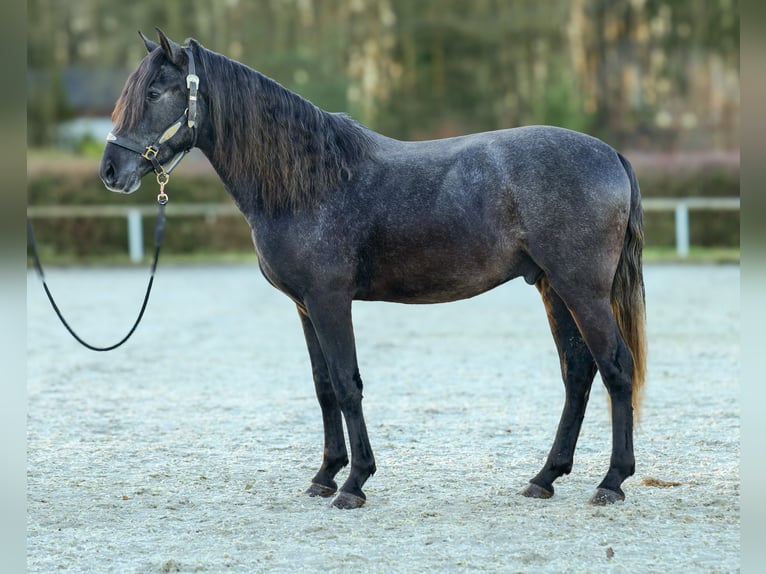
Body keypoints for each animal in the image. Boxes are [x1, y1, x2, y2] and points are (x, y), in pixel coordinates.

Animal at [97, 29, 648, 510]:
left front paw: (354, 483)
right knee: (577, 372)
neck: (310, 181)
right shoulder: (305, 307)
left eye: (154, 91)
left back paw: (612, 482)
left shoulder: (329, 300)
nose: (109, 172)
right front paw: (325, 475)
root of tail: (611, 155)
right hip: (553, 288)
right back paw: (545, 477)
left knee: (616, 367)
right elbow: (323, 387)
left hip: (582, 290)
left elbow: (347, 383)